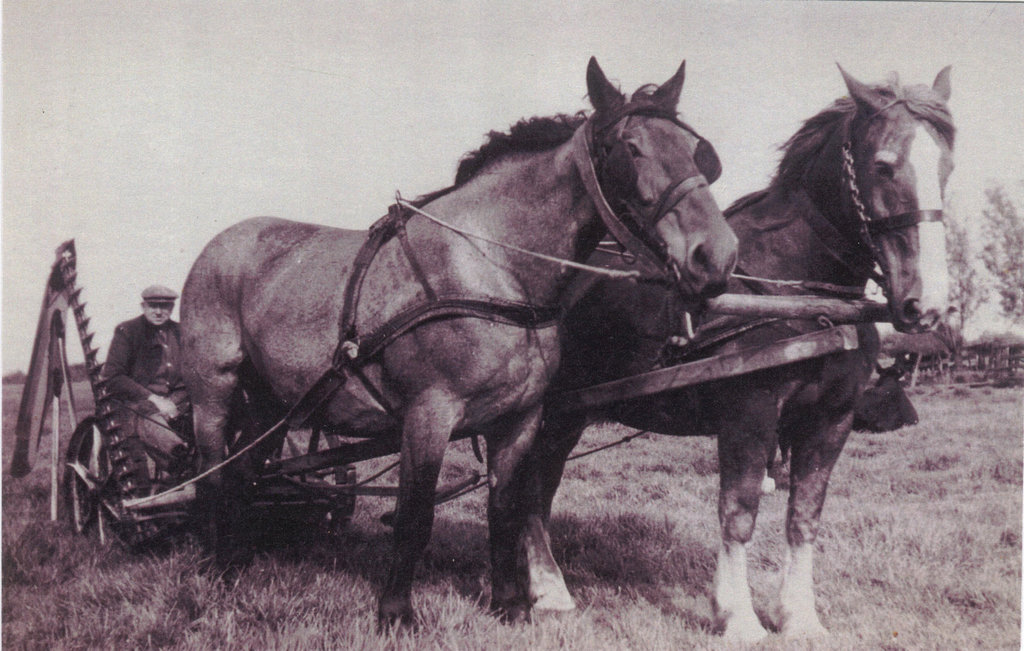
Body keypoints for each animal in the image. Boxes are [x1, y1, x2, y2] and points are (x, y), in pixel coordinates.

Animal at [182, 58, 737, 626]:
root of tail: (219, 244)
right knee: (210, 477)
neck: (493, 269)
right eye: (630, 148)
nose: (715, 256)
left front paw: (510, 605)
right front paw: (396, 613)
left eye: (695, 149)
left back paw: (238, 561)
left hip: (273, 401)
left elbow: (505, 511)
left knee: (245, 472)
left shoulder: (519, 418)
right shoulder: (429, 413)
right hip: (213, 390)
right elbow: (415, 515)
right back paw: (213, 569)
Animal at [524, 67, 954, 642]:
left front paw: (800, 617)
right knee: (532, 491)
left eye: (947, 166)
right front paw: (738, 617)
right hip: (551, 414)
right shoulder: (749, 411)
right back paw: (546, 591)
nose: (926, 304)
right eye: (884, 166)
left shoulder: (832, 417)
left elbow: (804, 516)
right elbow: (739, 512)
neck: (800, 292)